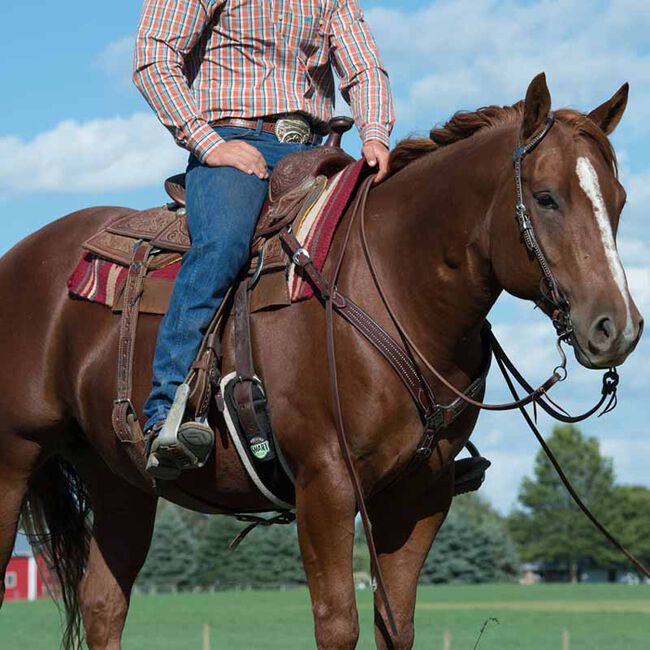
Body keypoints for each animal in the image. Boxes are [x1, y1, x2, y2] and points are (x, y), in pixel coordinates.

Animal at [0, 73, 640, 644]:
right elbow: (338, 626)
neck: (393, 287)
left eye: (619, 201)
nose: (618, 328)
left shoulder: (419, 495)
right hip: (15, 460)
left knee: (104, 607)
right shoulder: (325, 485)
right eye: (546, 197)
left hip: (120, 479)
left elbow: (395, 625)